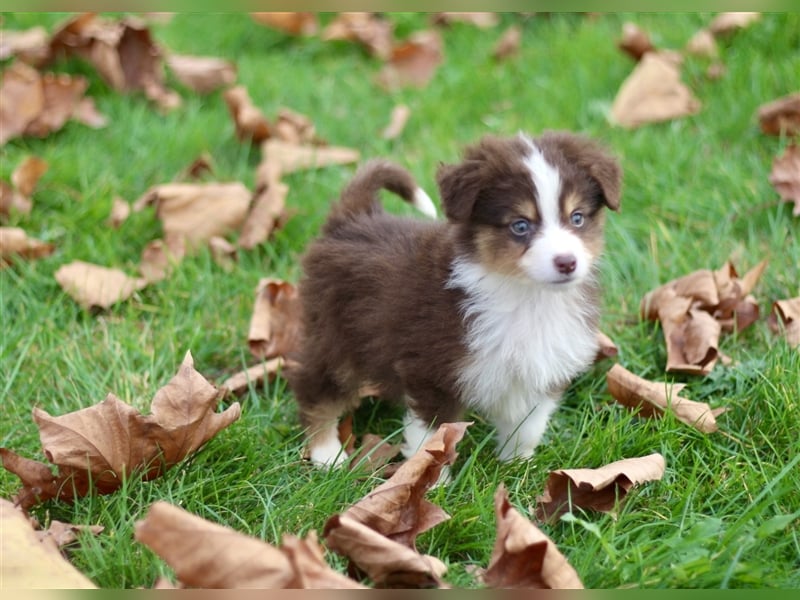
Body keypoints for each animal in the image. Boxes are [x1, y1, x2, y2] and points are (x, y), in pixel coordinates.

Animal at [288, 132, 624, 468]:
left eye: (577, 218)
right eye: (520, 225)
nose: (567, 262)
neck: (527, 295)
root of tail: (353, 217)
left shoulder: (538, 369)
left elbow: (527, 426)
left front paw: (517, 466)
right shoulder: (430, 371)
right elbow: (432, 441)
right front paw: (429, 480)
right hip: (335, 336)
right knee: (316, 388)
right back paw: (326, 454)